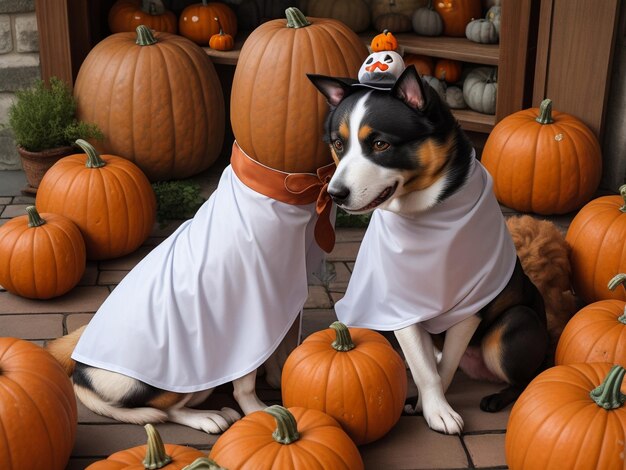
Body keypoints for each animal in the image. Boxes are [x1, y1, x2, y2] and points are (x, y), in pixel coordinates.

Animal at [310, 64, 548, 436]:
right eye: (338, 143)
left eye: (380, 144)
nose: (335, 193)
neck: (424, 215)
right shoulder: (400, 303)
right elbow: (424, 366)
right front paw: (431, 404)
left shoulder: (471, 304)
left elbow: (445, 366)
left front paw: (434, 408)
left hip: (513, 324)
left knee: (527, 377)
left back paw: (497, 397)